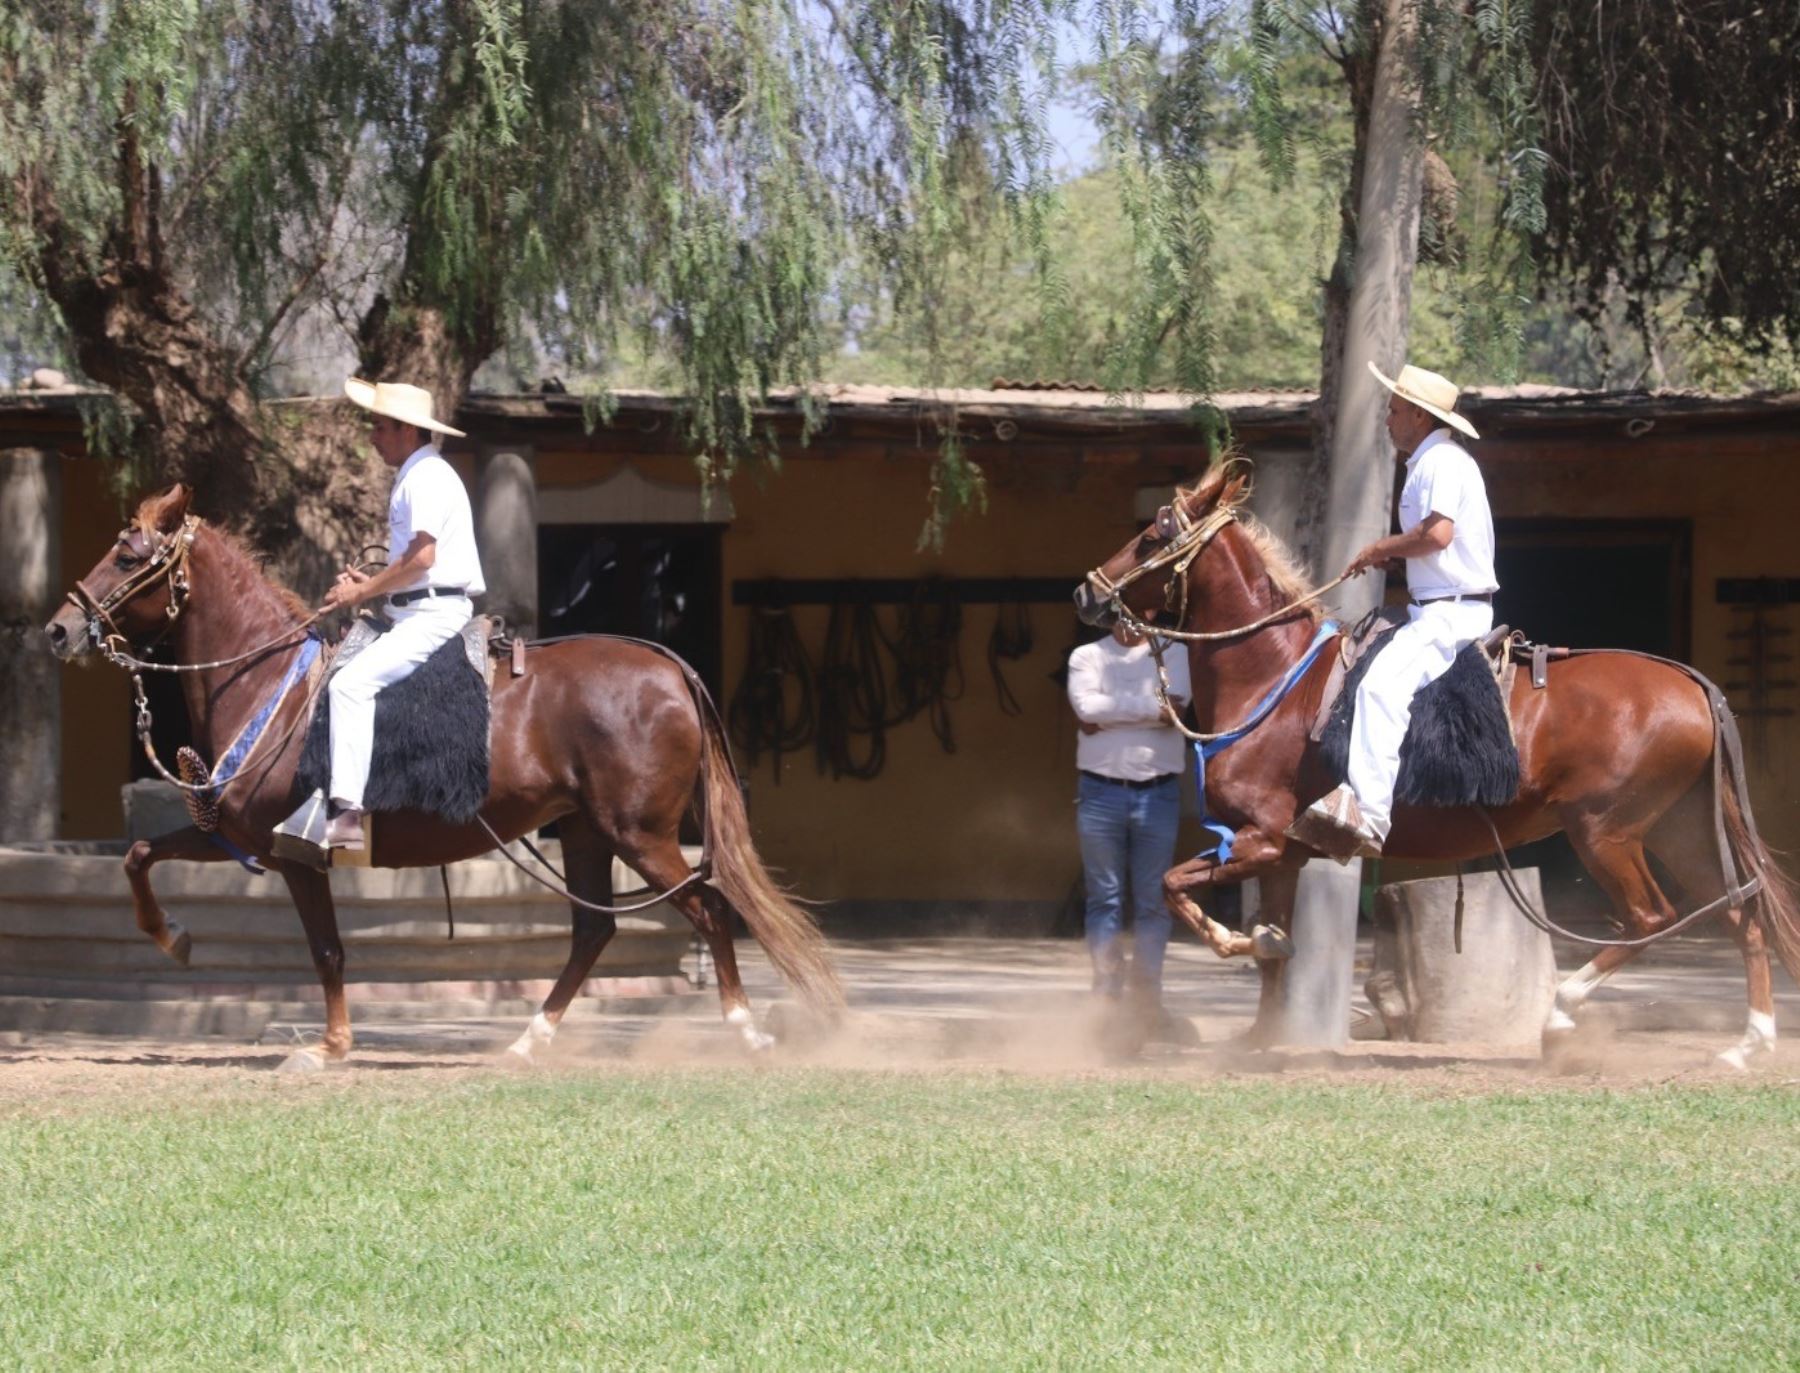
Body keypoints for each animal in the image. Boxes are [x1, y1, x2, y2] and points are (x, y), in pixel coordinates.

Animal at [51, 485, 842, 1072]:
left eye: (127, 555)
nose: (60, 628)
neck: (269, 683)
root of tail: (672, 668)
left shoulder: (293, 853)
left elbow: (327, 948)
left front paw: (330, 1045)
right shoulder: (240, 836)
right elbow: (139, 854)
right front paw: (172, 936)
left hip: (639, 834)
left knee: (707, 908)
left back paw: (745, 1030)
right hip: (586, 831)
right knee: (594, 930)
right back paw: (529, 1040)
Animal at [1080, 467, 1800, 1065]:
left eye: (1152, 536)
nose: (1088, 591)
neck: (1277, 678)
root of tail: (1693, 684)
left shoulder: (1258, 838)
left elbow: (1177, 888)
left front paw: (1233, 946)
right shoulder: (1278, 853)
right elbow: (1272, 945)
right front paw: (1259, 1036)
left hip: (1606, 832)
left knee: (1651, 918)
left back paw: (1563, 1017)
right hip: (1681, 828)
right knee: (1742, 916)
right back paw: (1749, 1044)